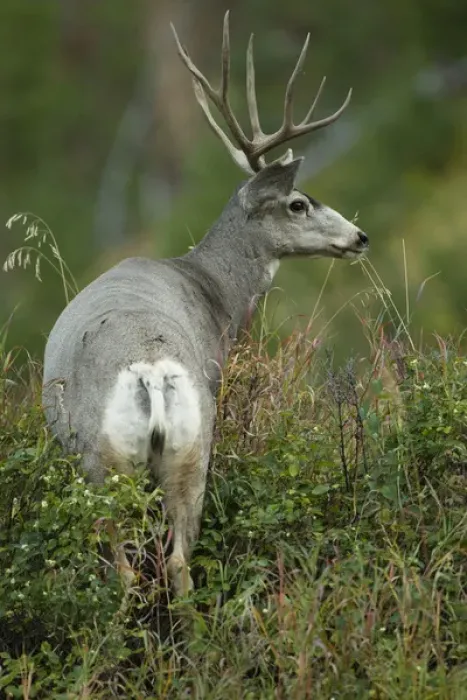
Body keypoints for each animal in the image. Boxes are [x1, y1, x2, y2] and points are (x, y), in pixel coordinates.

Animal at [42, 12, 368, 598]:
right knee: (175, 561)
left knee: (131, 569)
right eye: (298, 203)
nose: (360, 236)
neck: (208, 289)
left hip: (109, 463)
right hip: (191, 448)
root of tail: (150, 372)